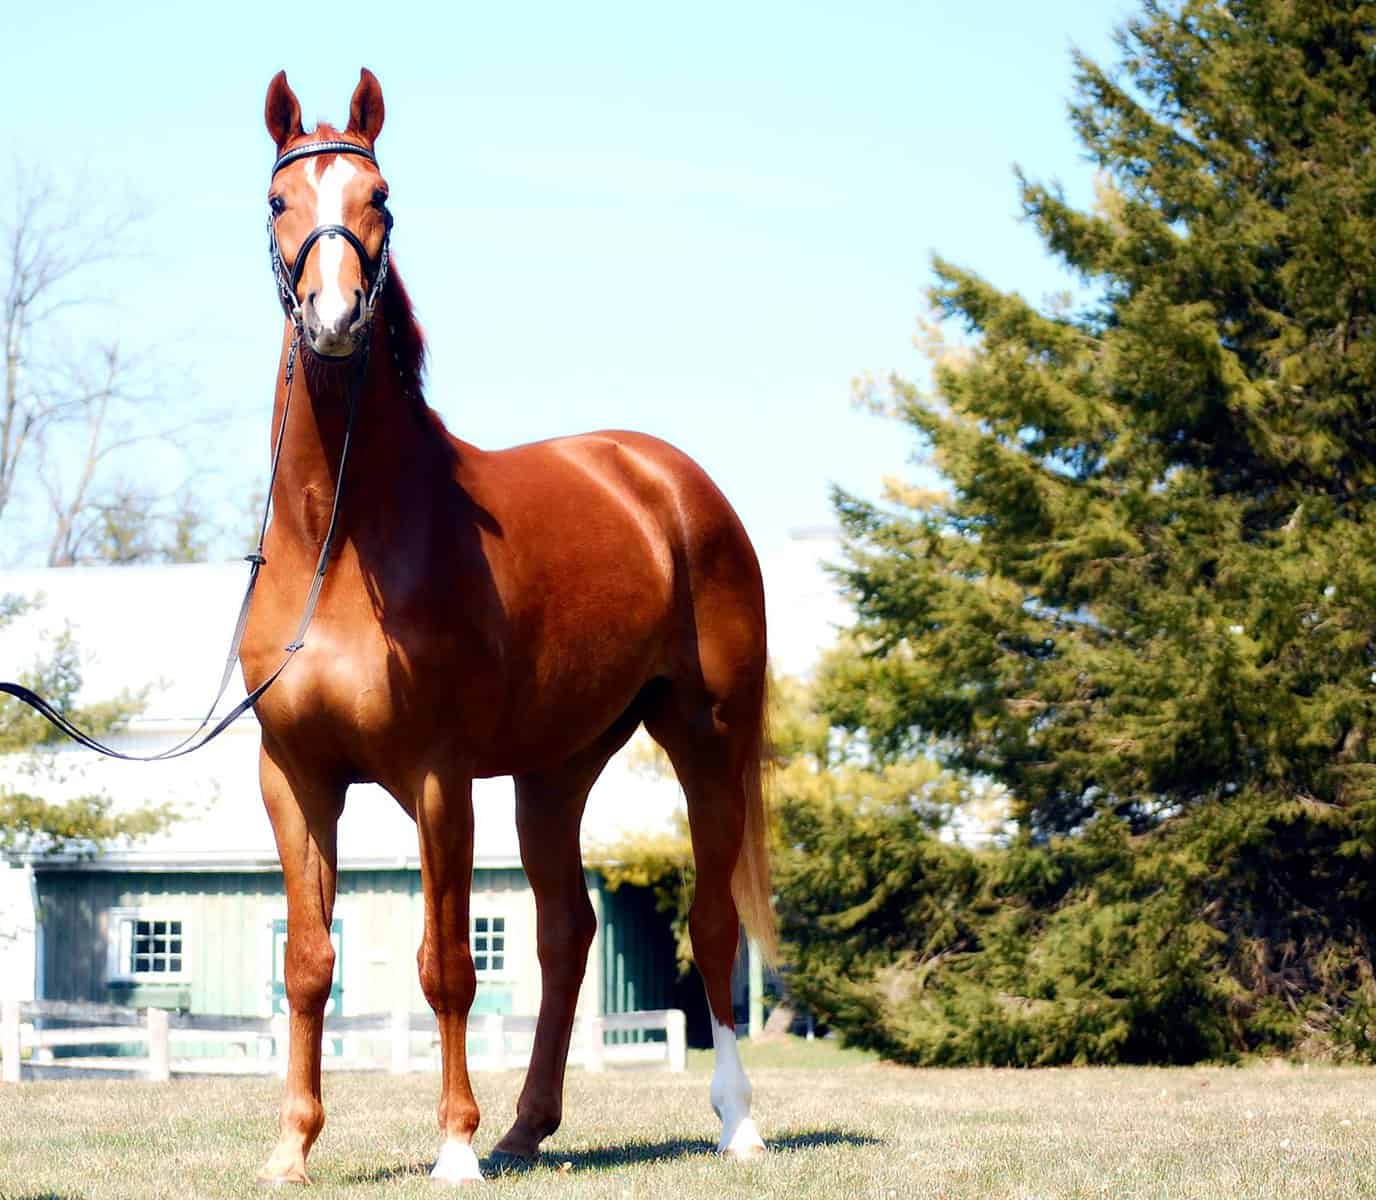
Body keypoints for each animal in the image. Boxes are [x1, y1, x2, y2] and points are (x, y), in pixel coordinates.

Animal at [242, 68, 775, 1185]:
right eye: (279, 202)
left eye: (381, 197)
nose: (336, 316)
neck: (339, 545)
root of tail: (667, 480)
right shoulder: (294, 776)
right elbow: (308, 962)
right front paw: (290, 1149)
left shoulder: (437, 778)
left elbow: (445, 964)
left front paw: (452, 1147)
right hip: (554, 770)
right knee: (566, 933)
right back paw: (529, 1127)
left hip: (706, 740)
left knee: (709, 927)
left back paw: (736, 1123)